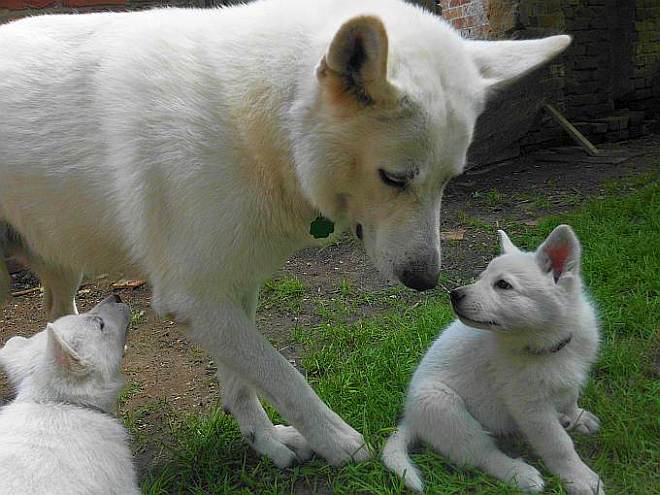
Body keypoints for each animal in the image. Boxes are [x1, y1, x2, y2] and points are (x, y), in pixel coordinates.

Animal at [0, 0, 568, 466]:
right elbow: (281, 373)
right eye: (394, 178)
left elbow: (244, 382)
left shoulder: (234, 285)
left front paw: (267, 443)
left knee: (56, 320)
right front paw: (337, 442)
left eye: (451, 179)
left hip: (64, 269)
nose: (426, 280)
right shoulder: (196, 297)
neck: (254, 122)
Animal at [382, 226, 604, 495]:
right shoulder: (529, 406)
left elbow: (570, 397)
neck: (548, 345)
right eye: (482, 277)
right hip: (443, 408)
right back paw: (519, 474)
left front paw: (576, 416)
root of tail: (411, 419)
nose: (454, 294)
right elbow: (558, 444)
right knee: (482, 454)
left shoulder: (570, 375)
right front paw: (579, 478)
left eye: (503, 285)